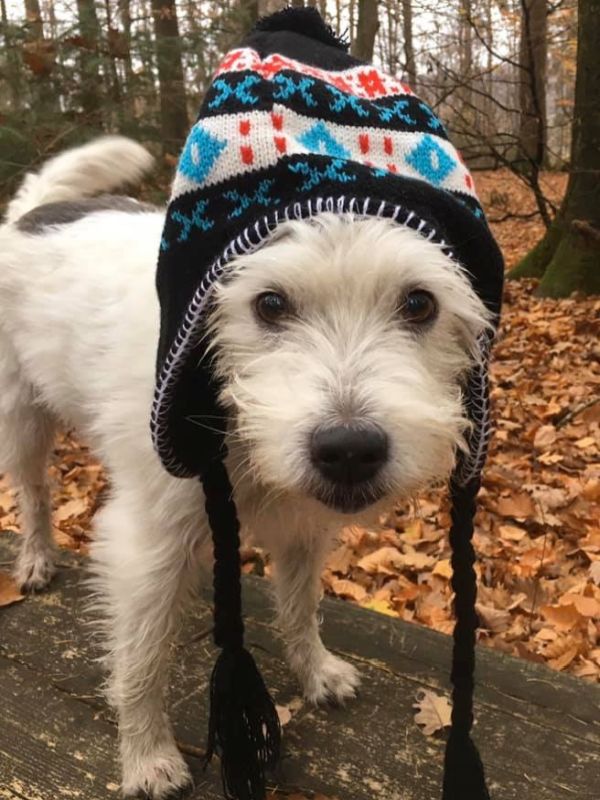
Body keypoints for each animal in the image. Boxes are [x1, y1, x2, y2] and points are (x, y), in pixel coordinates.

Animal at [0, 139, 488, 800]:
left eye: (420, 303)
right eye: (270, 303)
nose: (349, 449)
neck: (233, 420)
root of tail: (30, 212)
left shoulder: (306, 528)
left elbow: (300, 605)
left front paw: (316, 671)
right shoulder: (147, 543)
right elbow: (142, 657)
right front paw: (147, 756)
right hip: (22, 417)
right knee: (33, 490)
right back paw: (36, 557)